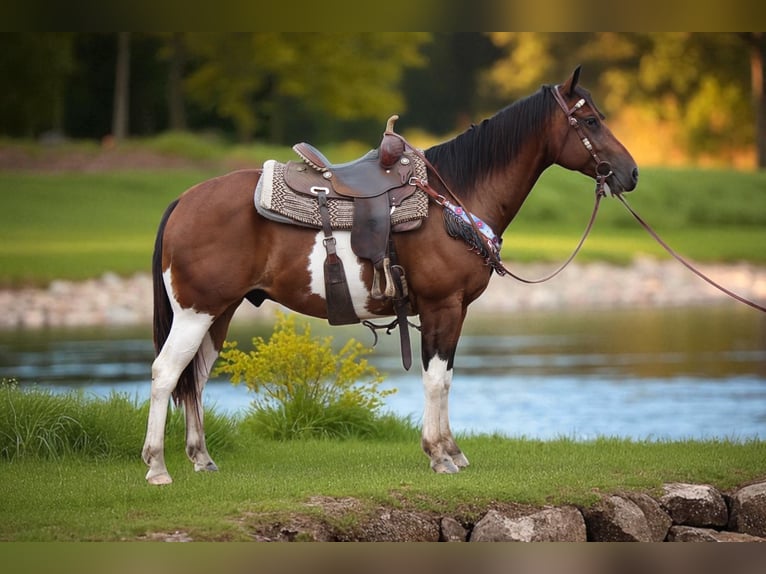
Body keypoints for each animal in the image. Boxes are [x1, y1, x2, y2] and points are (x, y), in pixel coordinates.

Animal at [142, 67, 638, 485]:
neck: (454, 201)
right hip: (197, 311)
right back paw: (157, 466)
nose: (631, 173)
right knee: (166, 373)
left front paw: (452, 451)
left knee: (194, 378)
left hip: (218, 312)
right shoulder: (442, 306)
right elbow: (435, 378)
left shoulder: (454, 312)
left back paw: (202, 458)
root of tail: (184, 200)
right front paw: (438, 455)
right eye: (590, 121)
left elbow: (447, 377)